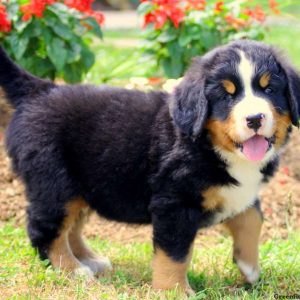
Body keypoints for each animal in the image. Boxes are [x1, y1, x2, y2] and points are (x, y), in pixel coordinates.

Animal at [0, 39, 300, 292]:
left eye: (269, 89)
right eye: (227, 96)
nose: (255, 118)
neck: (210, 145)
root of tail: (39, 90)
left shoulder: (239, 191)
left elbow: (253, 217)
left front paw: (249, 266)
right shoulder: (173, 203)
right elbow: (175, 254)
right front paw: (174, 292)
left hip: (82, 184)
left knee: (70, 225)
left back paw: (89, 260)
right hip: (54, 183)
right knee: (45, 229)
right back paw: (72, 270)